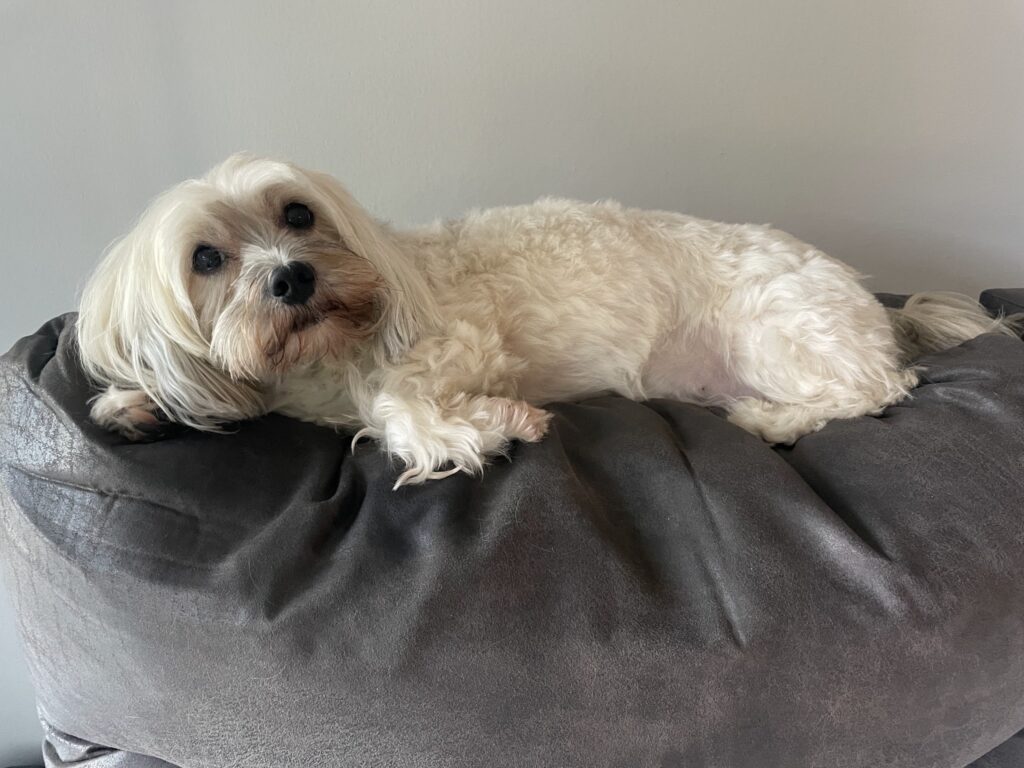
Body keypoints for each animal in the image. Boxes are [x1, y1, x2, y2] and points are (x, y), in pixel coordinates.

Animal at [76, 153, 1016, 487]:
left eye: (298, 213)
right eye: (206, 259)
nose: (293, 276)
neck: (326, 358)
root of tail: (873, 306)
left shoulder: (458, 341)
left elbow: (398, 407)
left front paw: (494, 425)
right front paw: (137, 404)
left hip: (775, 329)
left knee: (879, 387)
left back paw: (774, 419)